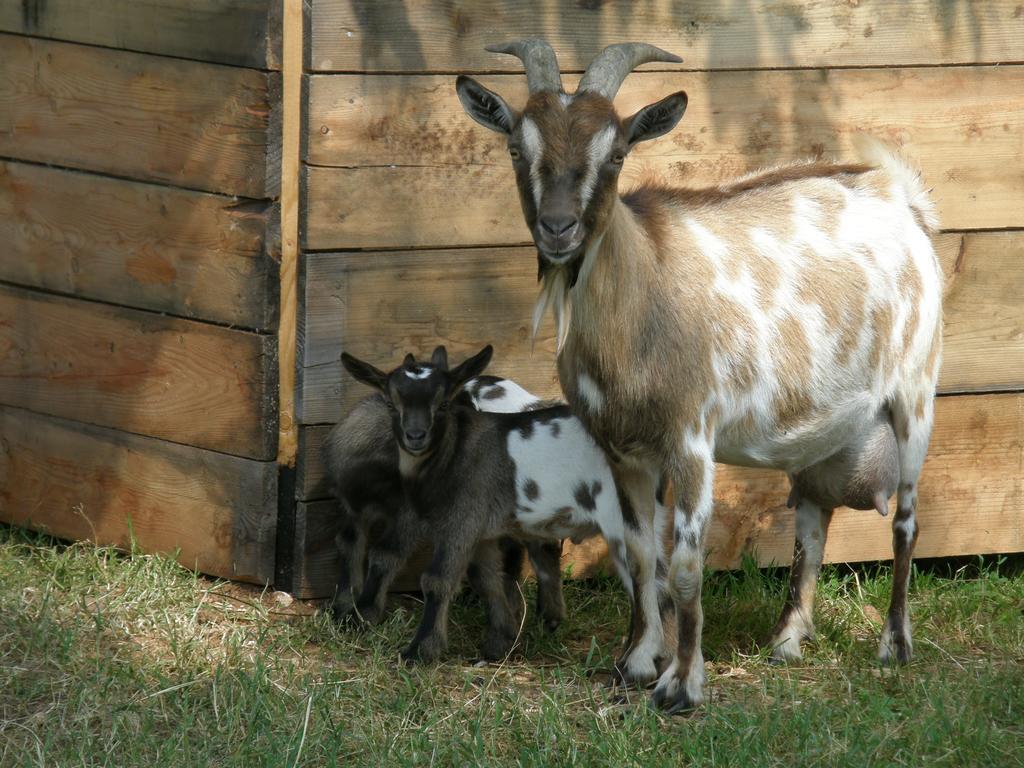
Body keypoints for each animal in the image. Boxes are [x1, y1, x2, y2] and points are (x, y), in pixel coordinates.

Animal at [458, 40, 942, 716]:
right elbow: (641, 556)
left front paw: (682, 684)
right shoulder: (622, 449)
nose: (558, 228)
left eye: (616, 153)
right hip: (820, 436)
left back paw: (894, 645)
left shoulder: (689, 437)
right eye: (515, 148)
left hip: (916, 393)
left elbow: (685, 565)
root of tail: (900, 196)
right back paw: (787, 641)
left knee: (905, 520)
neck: (642, 287)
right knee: (812, 523)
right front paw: (636, 662)